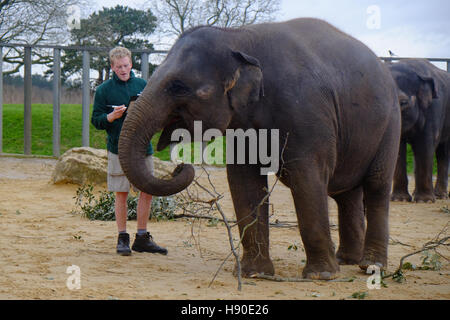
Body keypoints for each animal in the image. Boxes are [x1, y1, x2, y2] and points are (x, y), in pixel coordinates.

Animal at [117, 18, 400, 278]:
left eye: (178, 86)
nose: (180, 166)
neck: (237, 36)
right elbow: (244, 181)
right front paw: (254, 274)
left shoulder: (306, 111)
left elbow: (307, 177)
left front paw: (320, 276)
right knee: (345, 194)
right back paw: (347, 260)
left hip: (390, 126)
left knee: (376, 186)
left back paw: (371, 266)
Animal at [388, 58, 448, 201]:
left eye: (403, 103)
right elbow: (399, 147)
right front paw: (399, 199)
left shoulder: (434, 109)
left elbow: (425, 145)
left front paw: (425, 200)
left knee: (443, 152)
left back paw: (440, 196)